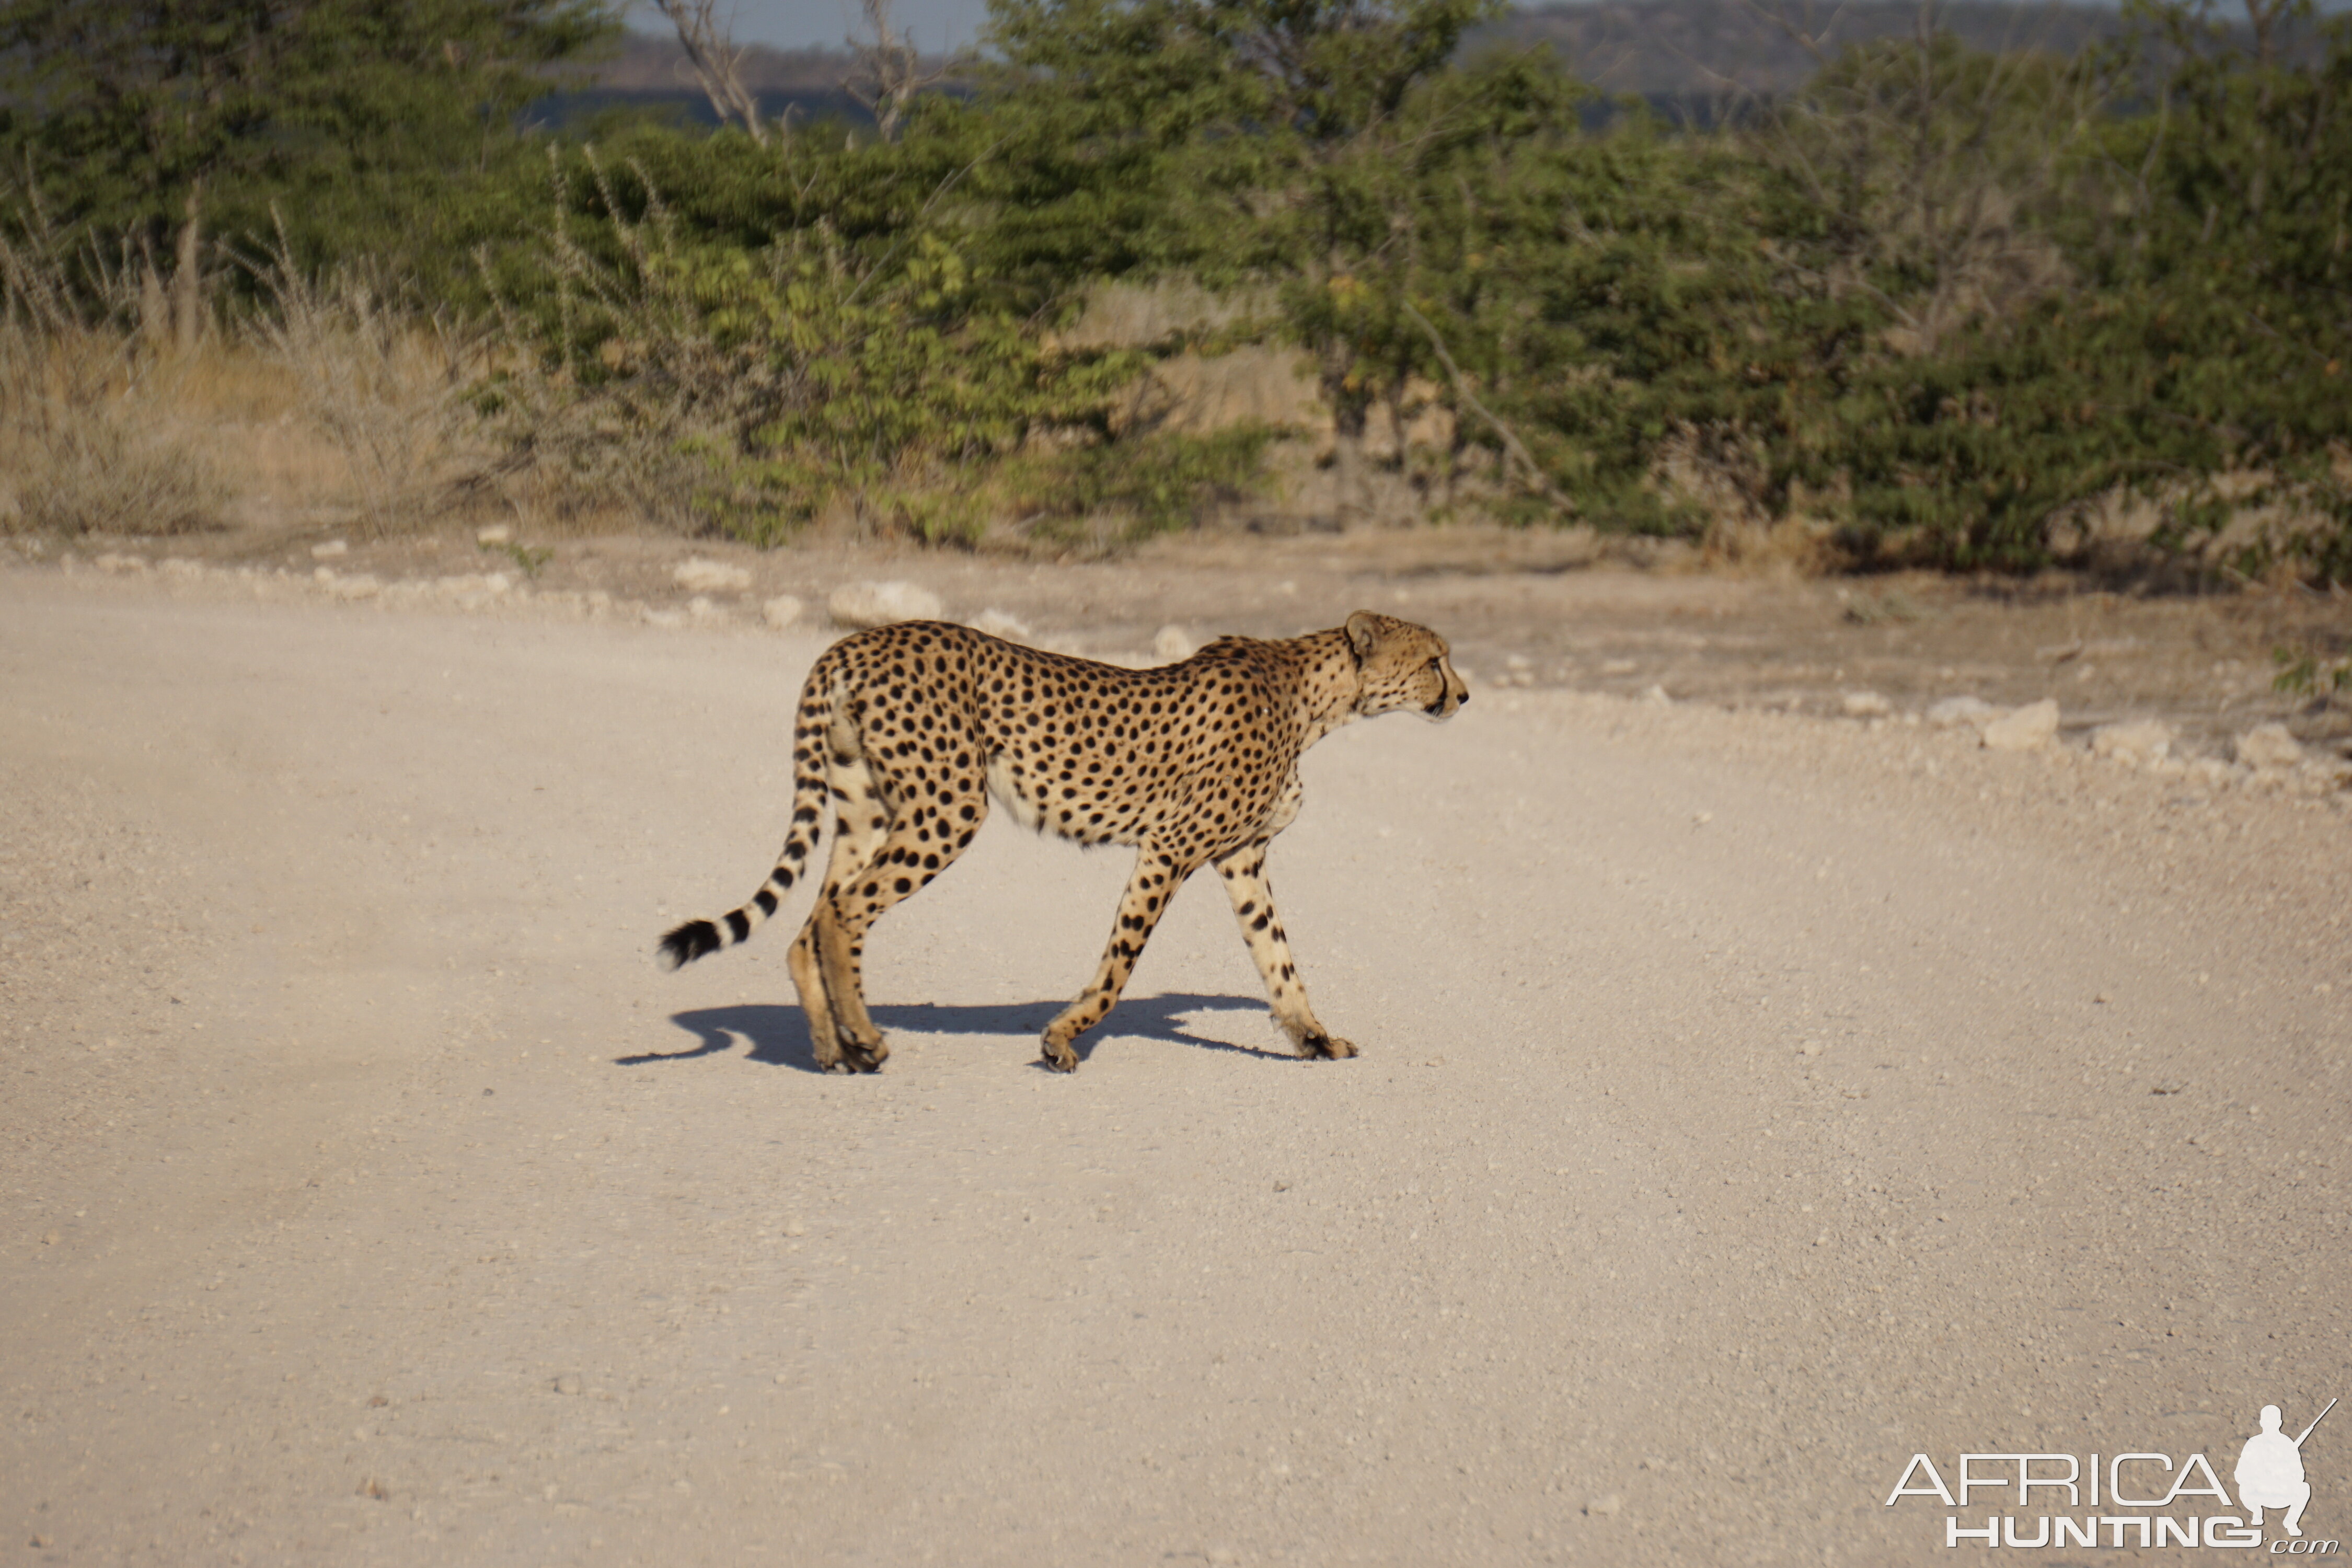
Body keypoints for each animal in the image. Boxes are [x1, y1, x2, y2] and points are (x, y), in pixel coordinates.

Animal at [663, 606, 1458, 1071]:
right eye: (1433, 660)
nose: (1465, 693)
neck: (1316, 697)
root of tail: (859, 639)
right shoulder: (1170, 847)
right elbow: (1120, 963)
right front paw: (1062, 1039)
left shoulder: (1241, 858)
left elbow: (1280, 960)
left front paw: (1316, 1038)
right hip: (949, 807)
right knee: (843, 913)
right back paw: (864, 1037)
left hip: (867, 810)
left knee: (813, 921)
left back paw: (834, 1048)